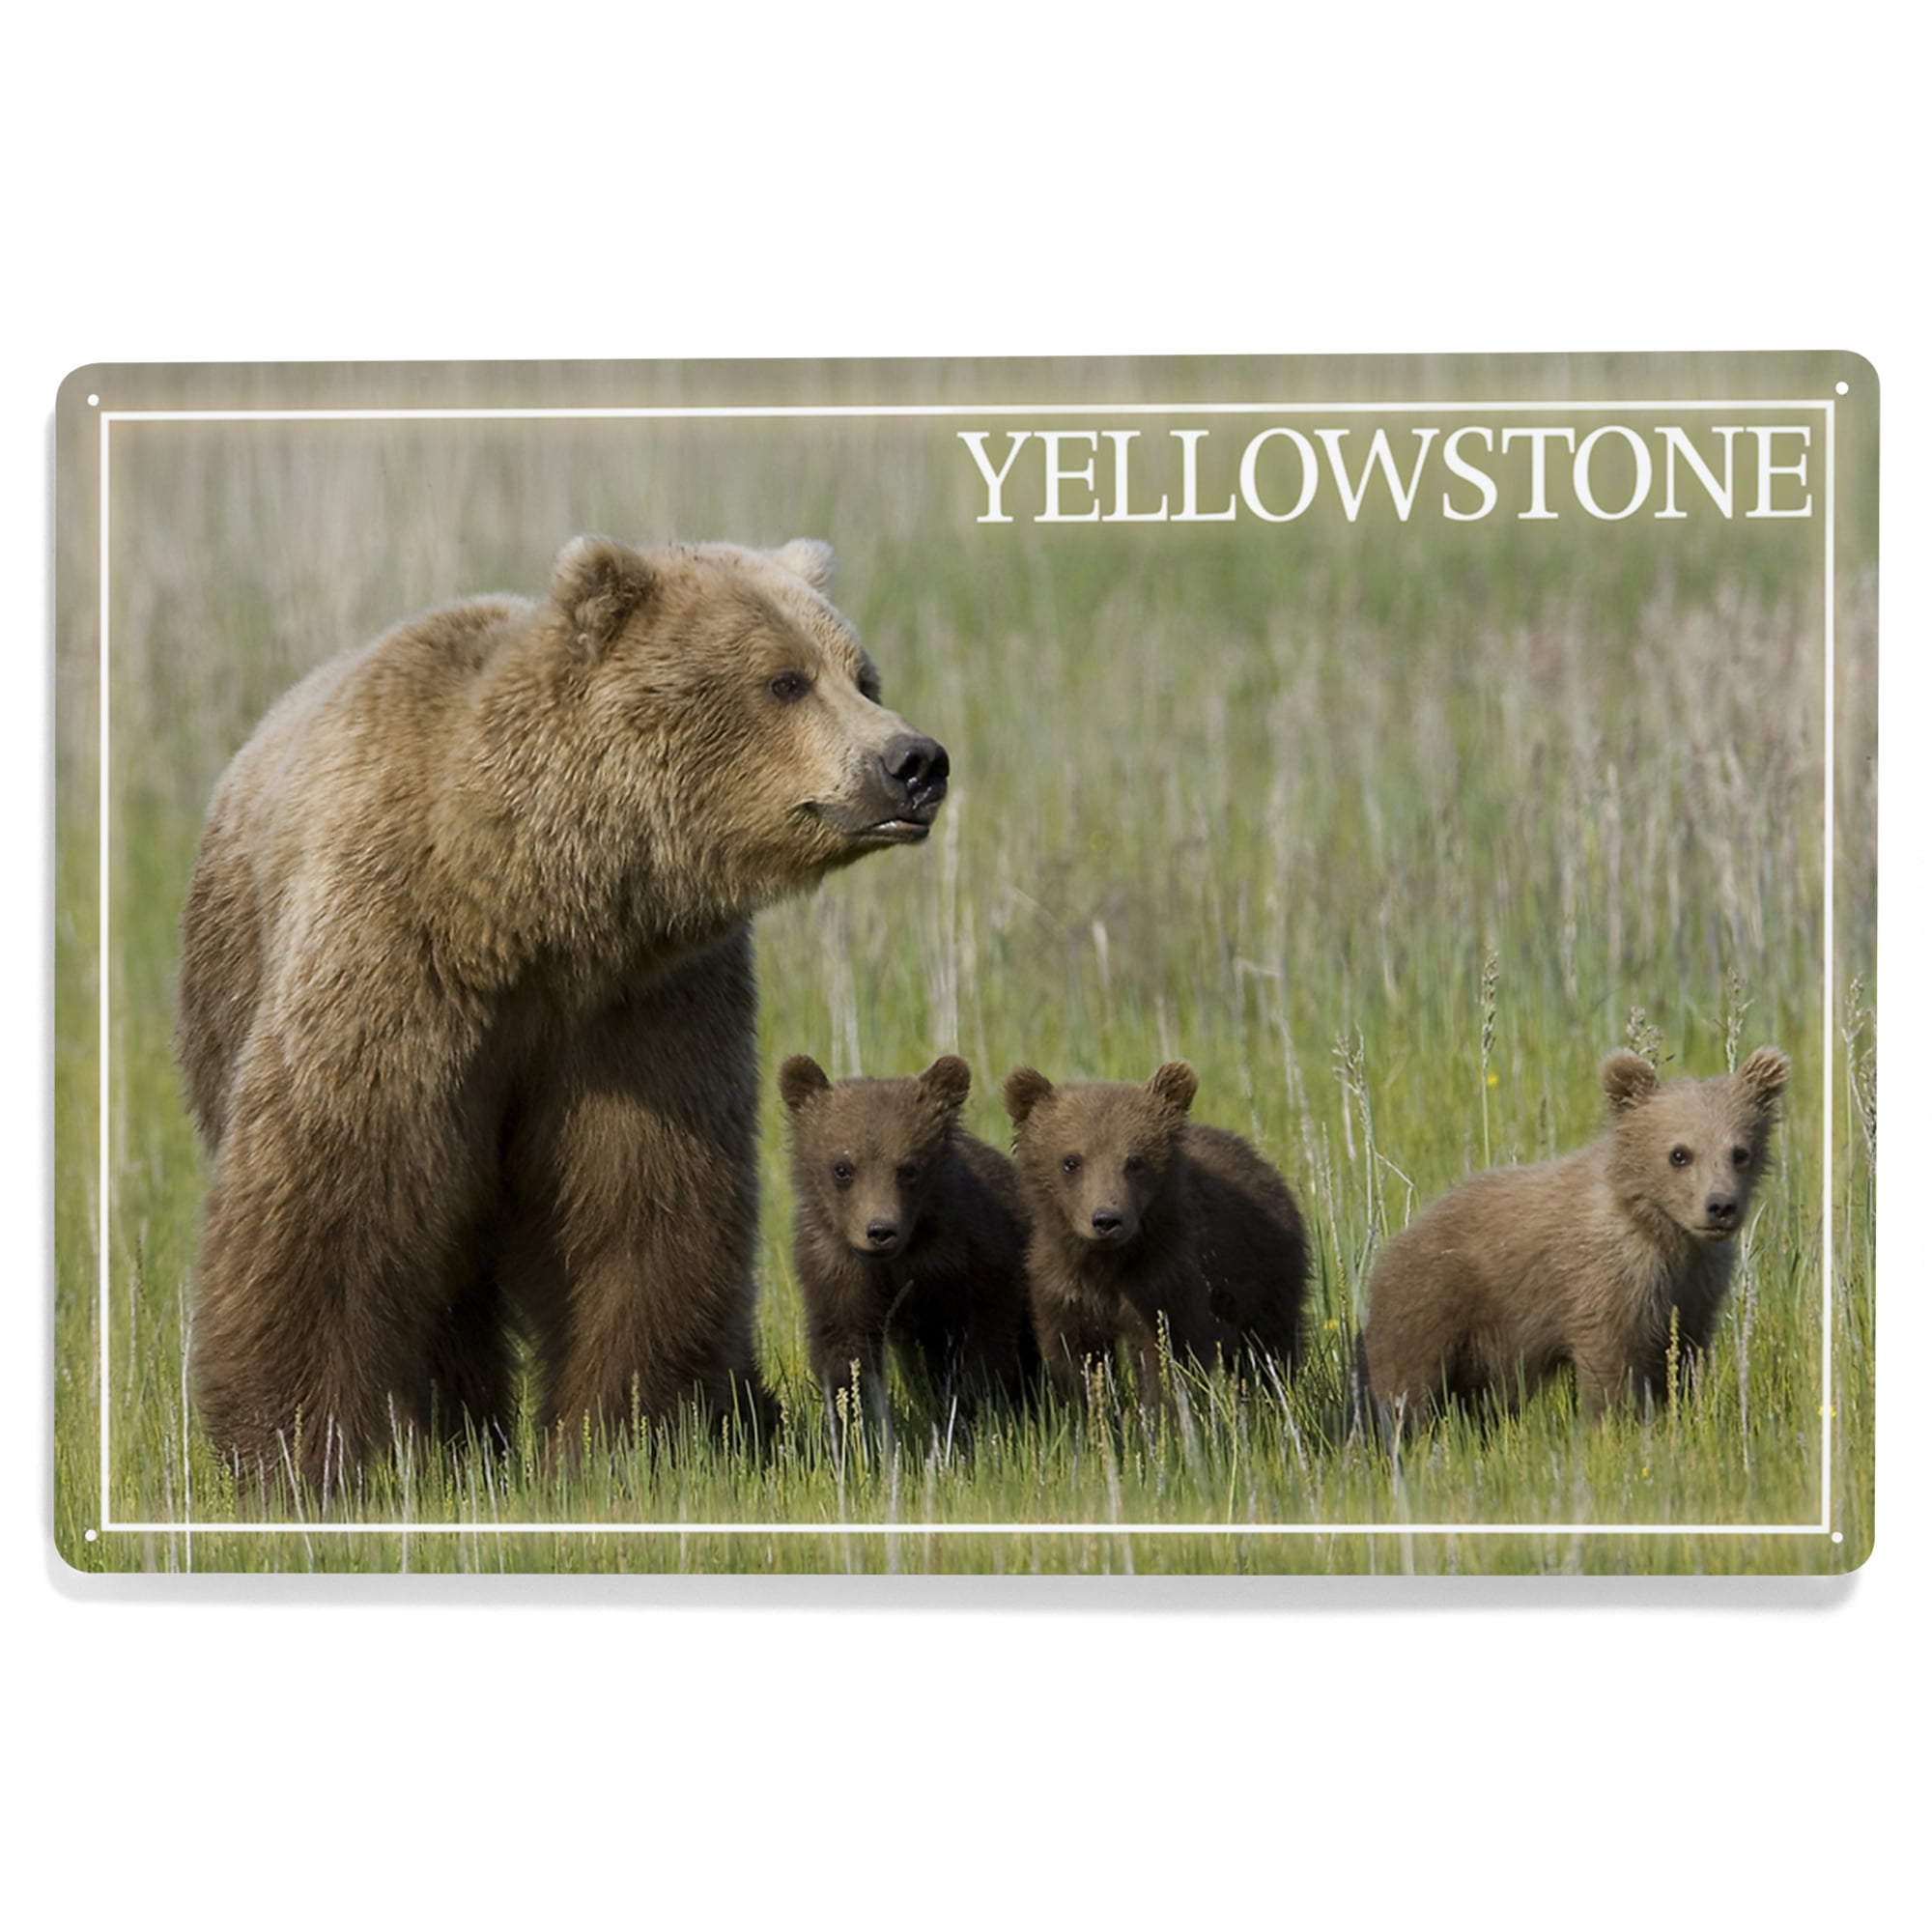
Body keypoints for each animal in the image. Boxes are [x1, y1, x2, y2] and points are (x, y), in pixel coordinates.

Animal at [174, 534, 948, 1489]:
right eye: (784, 681)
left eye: (861, 674)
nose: (915, 762)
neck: (523, 907)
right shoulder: (394, 959)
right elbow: (335, 1191)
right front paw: (304, 1451)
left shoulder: (643, 1006)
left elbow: (639, 1205)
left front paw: (620, 1439)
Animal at [778, 1053, 1037, 1426]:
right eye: (842, 1168)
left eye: (908, 1168)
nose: (880, 1230)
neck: (903, 1256)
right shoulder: (836, 1267)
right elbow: (845, 1346)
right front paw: (854, 1416)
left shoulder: (972, 1254)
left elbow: (988, 1334)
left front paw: (970, 1404)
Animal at [1001, 1061, 1309, 1400]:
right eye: (1071, 1161)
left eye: (1136, 1160)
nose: (1106, 1219)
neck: (1108, 1263)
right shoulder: (1065, 1285)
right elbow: (1074, 1355)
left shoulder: (1166, 1279)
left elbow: (1166, 1355)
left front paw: (1161, 1408)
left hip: (1265, 1277)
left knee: (1268, 1347)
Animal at [1362, 1046, 1790, 1428]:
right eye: (1679, 1154)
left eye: (1740, 1152)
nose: (1720, 1206)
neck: (1662, 1231)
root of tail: (1395, 1243)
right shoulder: (1606, 1276)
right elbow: (1612, 1360)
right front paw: (1620, 1424)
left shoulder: (1695, 1287)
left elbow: (1682, 1353)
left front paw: (1679, 1410)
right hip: (1434, 1305)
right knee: (1405, 1384)